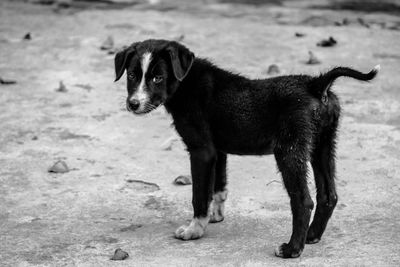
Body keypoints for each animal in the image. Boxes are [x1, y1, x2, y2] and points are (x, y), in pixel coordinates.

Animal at [114, 38, 380, 258]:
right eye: (132, 75)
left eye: (157, 78)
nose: (133, 104)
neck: (185, 82)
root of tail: (316, 84)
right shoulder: (217, 151)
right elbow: (218, 187)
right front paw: (215, 216)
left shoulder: (201, 151)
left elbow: (199, 194)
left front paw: (194, 229)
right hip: (322, 145)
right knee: (328, 195)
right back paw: (311, 236)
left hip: (290, 151)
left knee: (303, 201)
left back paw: (292, 249)